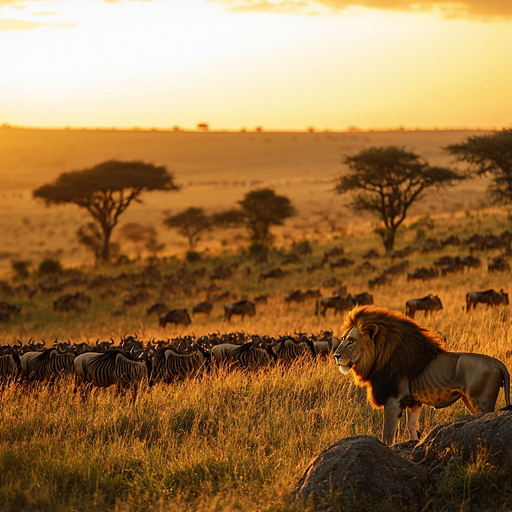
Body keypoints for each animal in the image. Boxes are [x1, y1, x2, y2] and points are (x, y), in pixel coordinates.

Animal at [334, 306, 510, 446]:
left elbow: (388, 434)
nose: (336, 355)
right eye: (342, 339)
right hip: (469, 401)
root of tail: (499, 364)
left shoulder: (393, 399)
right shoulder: (414, 402)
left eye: (351, 341)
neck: (378, 356)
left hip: (481, 401)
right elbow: (412, 427)